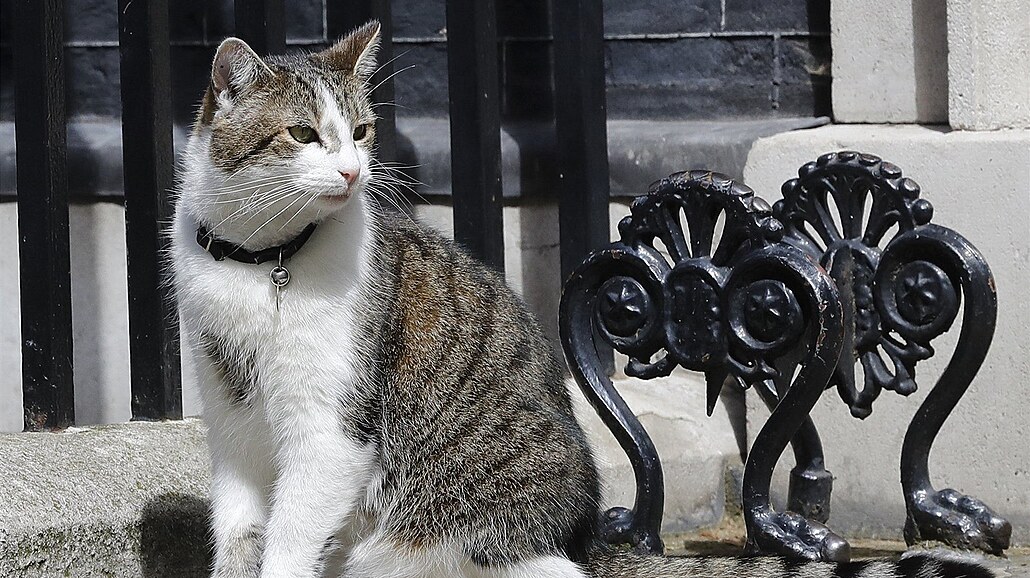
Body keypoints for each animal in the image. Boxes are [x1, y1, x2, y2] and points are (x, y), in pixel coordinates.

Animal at [170, 20, 997, 576]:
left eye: (364, 131)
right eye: (304, 134)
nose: (352, 173)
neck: (262, 261)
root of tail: (584, 538)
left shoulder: (331, 427)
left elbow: (291, 536)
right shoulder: (230, 419)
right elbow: (240, 531)